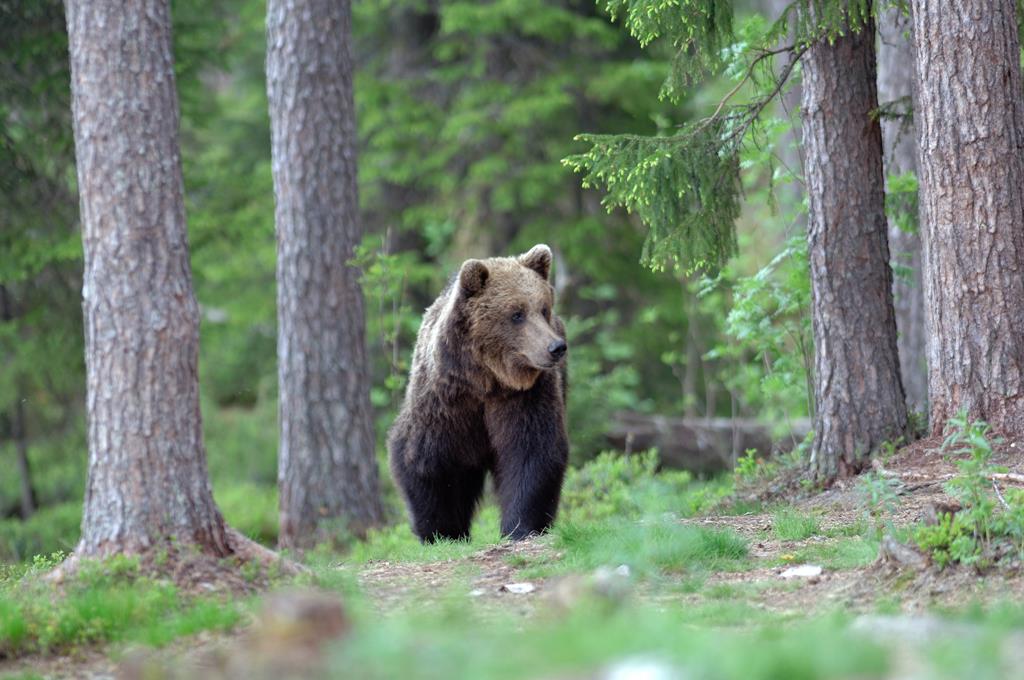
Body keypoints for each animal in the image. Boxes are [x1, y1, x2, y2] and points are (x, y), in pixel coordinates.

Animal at [385, 244, 569, 540]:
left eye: (543, 309)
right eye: (516, 313)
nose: (556, 347)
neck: (486, 380)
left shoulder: (525, 397)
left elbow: (532, 452)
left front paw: (521, 526)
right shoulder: (444, 402)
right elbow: (425, 460)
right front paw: (442, 530)